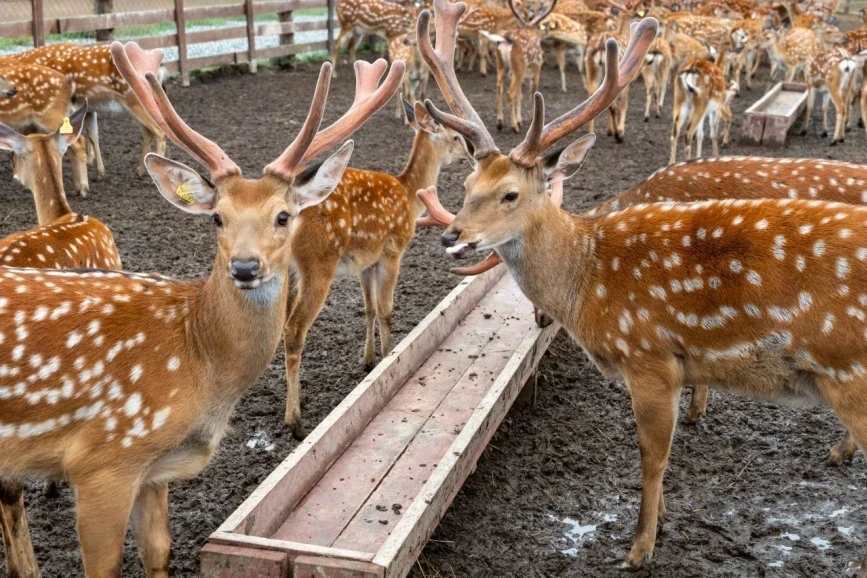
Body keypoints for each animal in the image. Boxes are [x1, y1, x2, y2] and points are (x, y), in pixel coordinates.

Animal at [0, 63, 90, 197]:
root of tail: (70, 84)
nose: (14, 89)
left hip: (50, 115)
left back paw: (84, 189)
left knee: (79, 141)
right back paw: (76, 189)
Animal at [3, 43, 167, 180]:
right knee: (148, 132)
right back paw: (140, 170)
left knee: (160, 131)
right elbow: (93, 135)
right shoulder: (88, 109)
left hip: (135, 100)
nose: (15, 173)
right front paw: (100, 173)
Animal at [282, 100, 468, 437]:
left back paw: (295, 400)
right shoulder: (393, 249)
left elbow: (368, 308)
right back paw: (296, 421)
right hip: (318, 262)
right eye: (456, 137)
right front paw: (388, 357)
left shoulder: (365, 261)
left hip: (288, 270)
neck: (410, 196)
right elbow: (386, 309)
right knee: (294, 328)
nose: (469, 153)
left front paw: (367, 360)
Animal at [482, 0, 557, 133]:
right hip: (519, 66)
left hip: (502, 65)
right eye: (541, 27)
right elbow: (532, 93)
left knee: (499, 88)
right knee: (510, 92)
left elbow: (520, 95)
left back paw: (500, 122)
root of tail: (506, 39)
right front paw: (530, 119)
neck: (531, 30)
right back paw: (513, 127)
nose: (548, 34)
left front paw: (520, 120)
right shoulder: (537, 69)